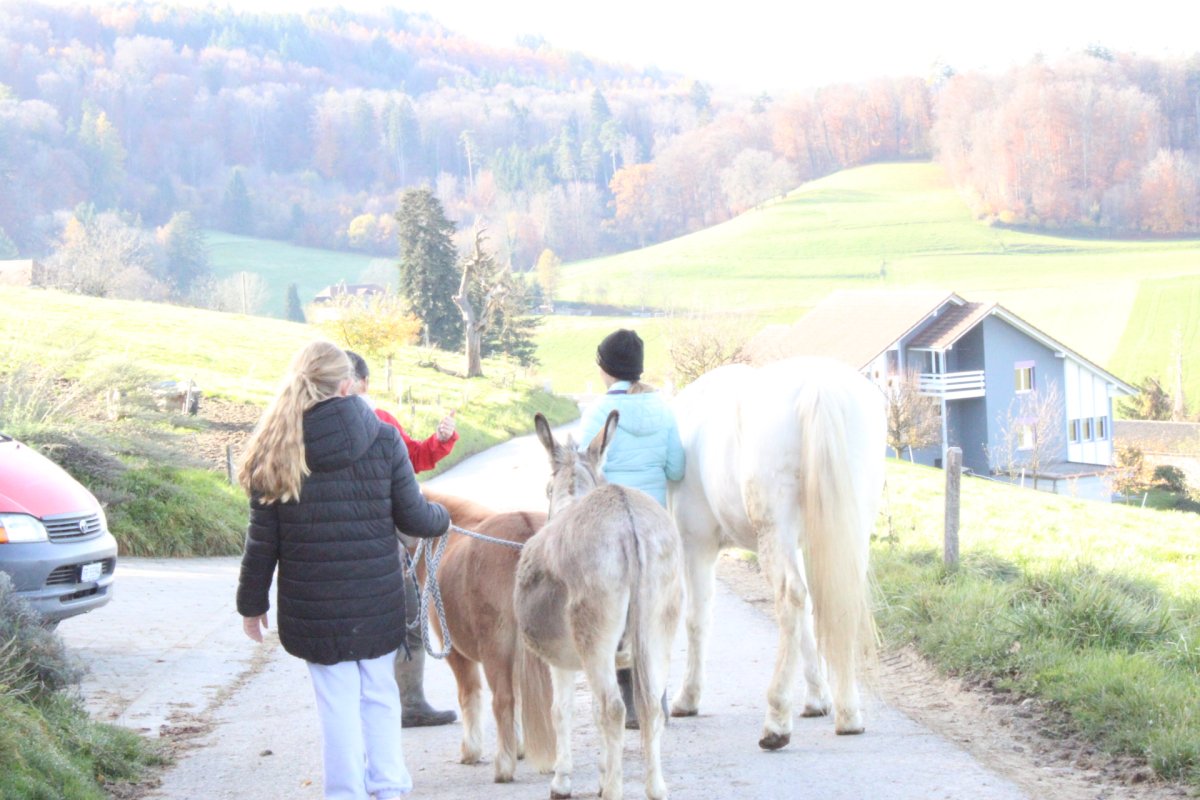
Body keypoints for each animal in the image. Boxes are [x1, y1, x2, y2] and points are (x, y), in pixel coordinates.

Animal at [414, 489, 555, 783]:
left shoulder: (454, 651)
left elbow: (469, 695)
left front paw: (471, 751)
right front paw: (519, 746)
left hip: (494, 648)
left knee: (502, 700)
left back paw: (503, 767)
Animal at [514, 412, 682, 800]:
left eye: (547, 489)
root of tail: (627, 518)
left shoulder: (561, 660)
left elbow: (563, 711)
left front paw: (562, 782)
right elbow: (591, 713)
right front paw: (604, 772)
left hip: (593, 633)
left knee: (614, 709)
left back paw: (614, 791)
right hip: (658, 630)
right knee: (651, 705)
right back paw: (656, 788)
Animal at [666, 355, 886, 750]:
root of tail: (818, 382)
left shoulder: (696, 544)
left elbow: (696, 620)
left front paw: (687, 698)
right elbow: (811, 619)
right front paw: (818, 698)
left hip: (773, 532)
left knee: (790, 598)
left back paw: (777, 721)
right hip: (849, 531)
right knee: (836, 602)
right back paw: (848, 714)